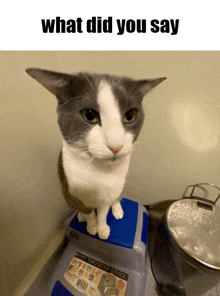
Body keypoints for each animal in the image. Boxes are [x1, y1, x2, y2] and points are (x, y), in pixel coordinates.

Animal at [25, 68, 166, 239]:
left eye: (130, 115)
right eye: (90, 115)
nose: (116, 146)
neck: (101, 170)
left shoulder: (109, 193)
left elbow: (103, 212)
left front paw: (102, 228)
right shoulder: (73, 192)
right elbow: (89, 213)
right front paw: (92, 227)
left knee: (116, 198)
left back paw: (117, 209)